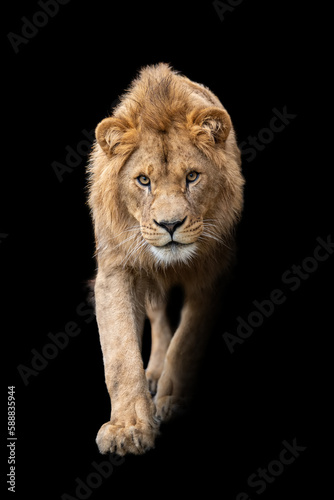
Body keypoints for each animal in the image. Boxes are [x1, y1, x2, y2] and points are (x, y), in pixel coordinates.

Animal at [86, 60, 244, 456]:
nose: (169, 225)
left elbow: (187, 340)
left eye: (192, 177)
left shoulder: (216, 272)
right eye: (143, 181)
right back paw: (153, 373)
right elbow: (121, 354)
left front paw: (174, 399)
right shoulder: (115, 270)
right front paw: (128, 427)